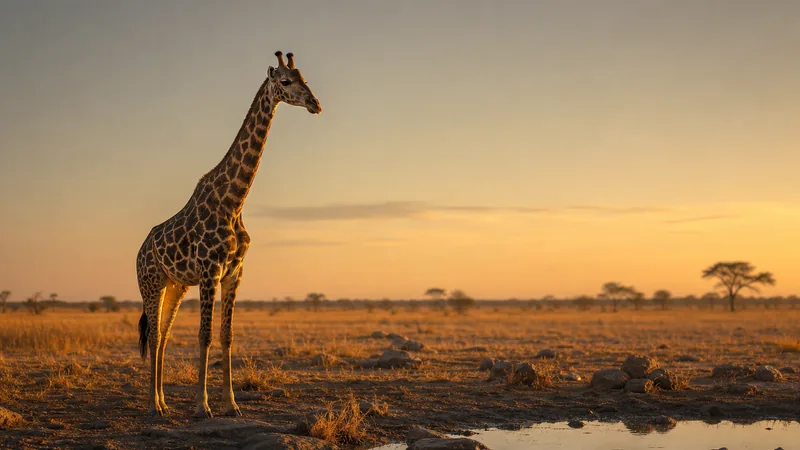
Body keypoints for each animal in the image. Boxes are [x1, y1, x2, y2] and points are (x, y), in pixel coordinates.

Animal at [135, 51, 322, 418]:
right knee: (153, 336)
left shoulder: (234, 271)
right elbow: (204, 335)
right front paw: (202, 405)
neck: (235, 201)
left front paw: (232, 403)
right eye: (285, 81)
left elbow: (227, 336)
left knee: (163, 334)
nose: (315, 104)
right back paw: (152, 405)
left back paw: (163, 401)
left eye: (305, 78)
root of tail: (139, 250)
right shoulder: (210, 271)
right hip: (150, 281)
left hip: (174, 285)